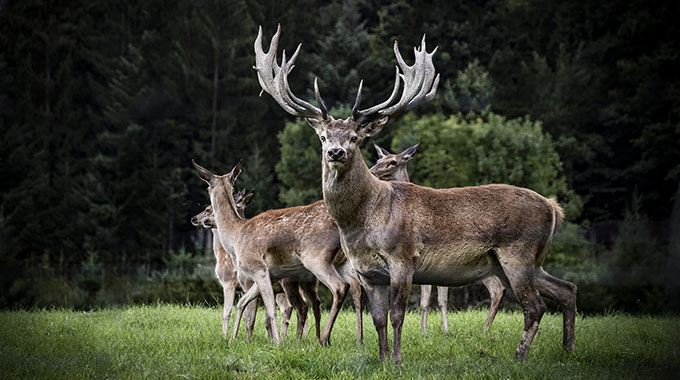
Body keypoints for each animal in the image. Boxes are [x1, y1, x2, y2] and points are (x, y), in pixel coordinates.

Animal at [370, 144, 508, 334]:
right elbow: (428, 300)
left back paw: (484, 329)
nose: (372, 171)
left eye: (393, 162)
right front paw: (426, 329)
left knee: (498, 288)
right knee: (499, 287)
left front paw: (438, 330)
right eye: (378, 159)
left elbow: (436, 300)